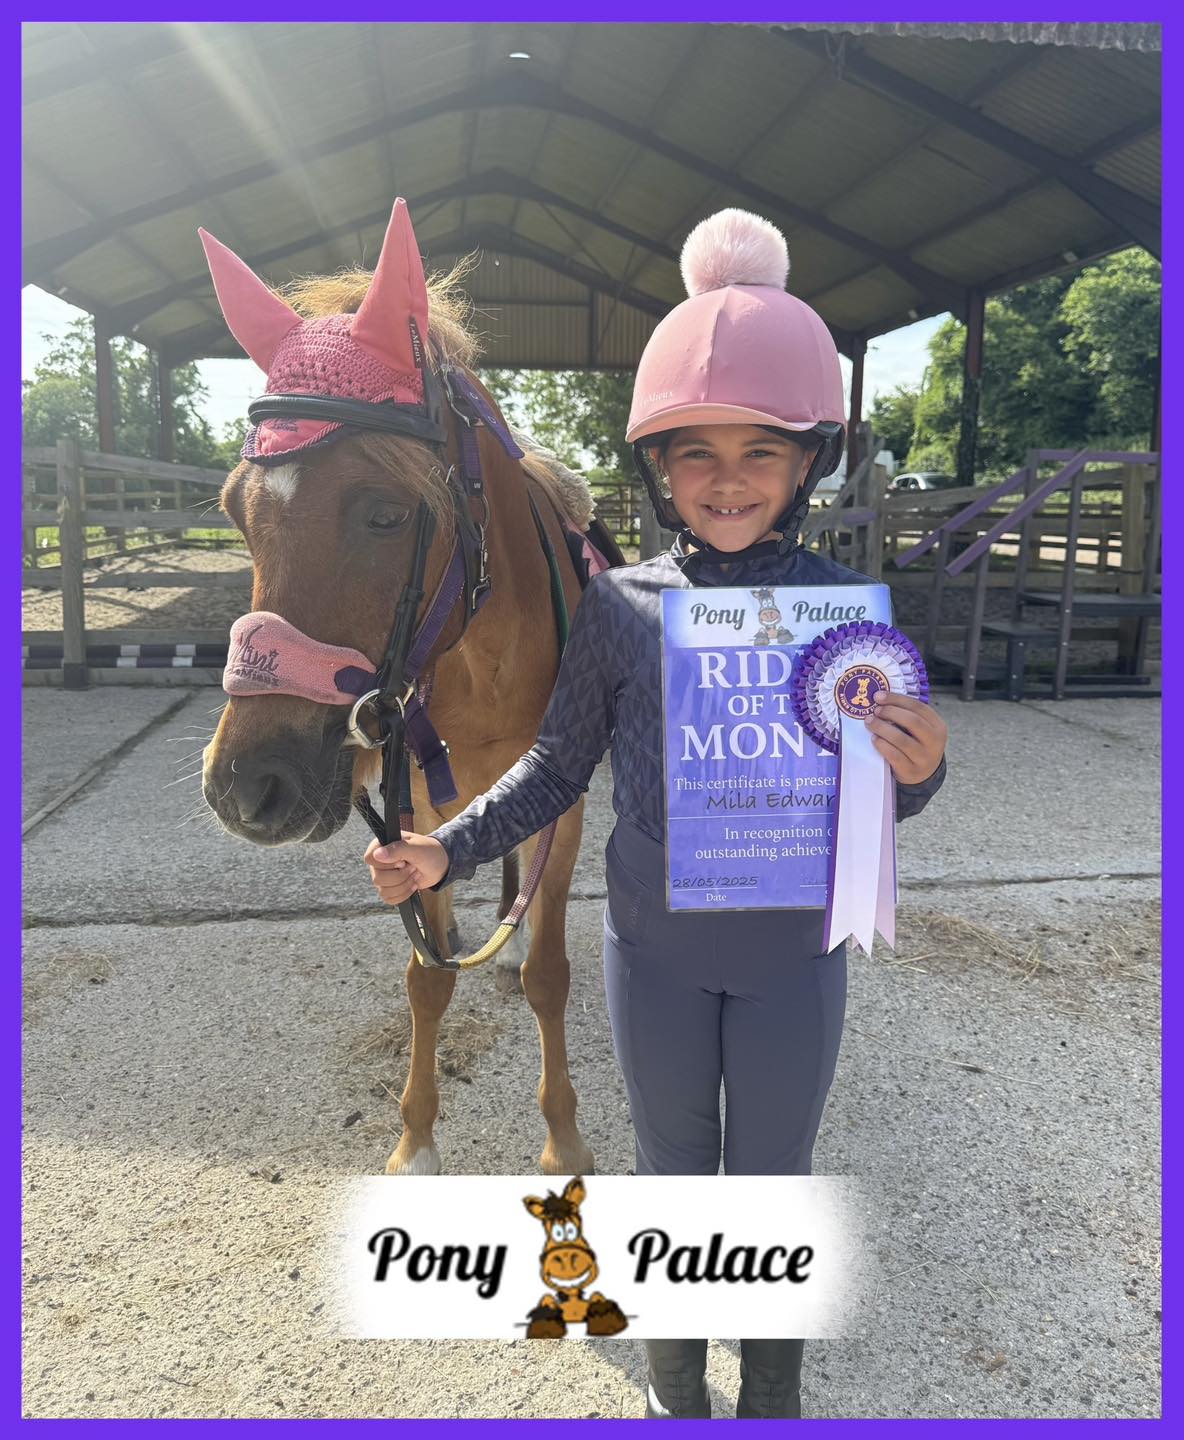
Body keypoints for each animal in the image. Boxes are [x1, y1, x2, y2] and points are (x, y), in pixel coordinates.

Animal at [199, 199, 623, 1177]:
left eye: (385, 512)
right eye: (237, 509)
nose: (248, 788)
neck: (479, 655)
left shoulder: (567, 797)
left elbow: (549, 974)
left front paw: (563, 1138)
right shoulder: (415, 809)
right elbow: (425, 980)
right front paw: (416, 1142)